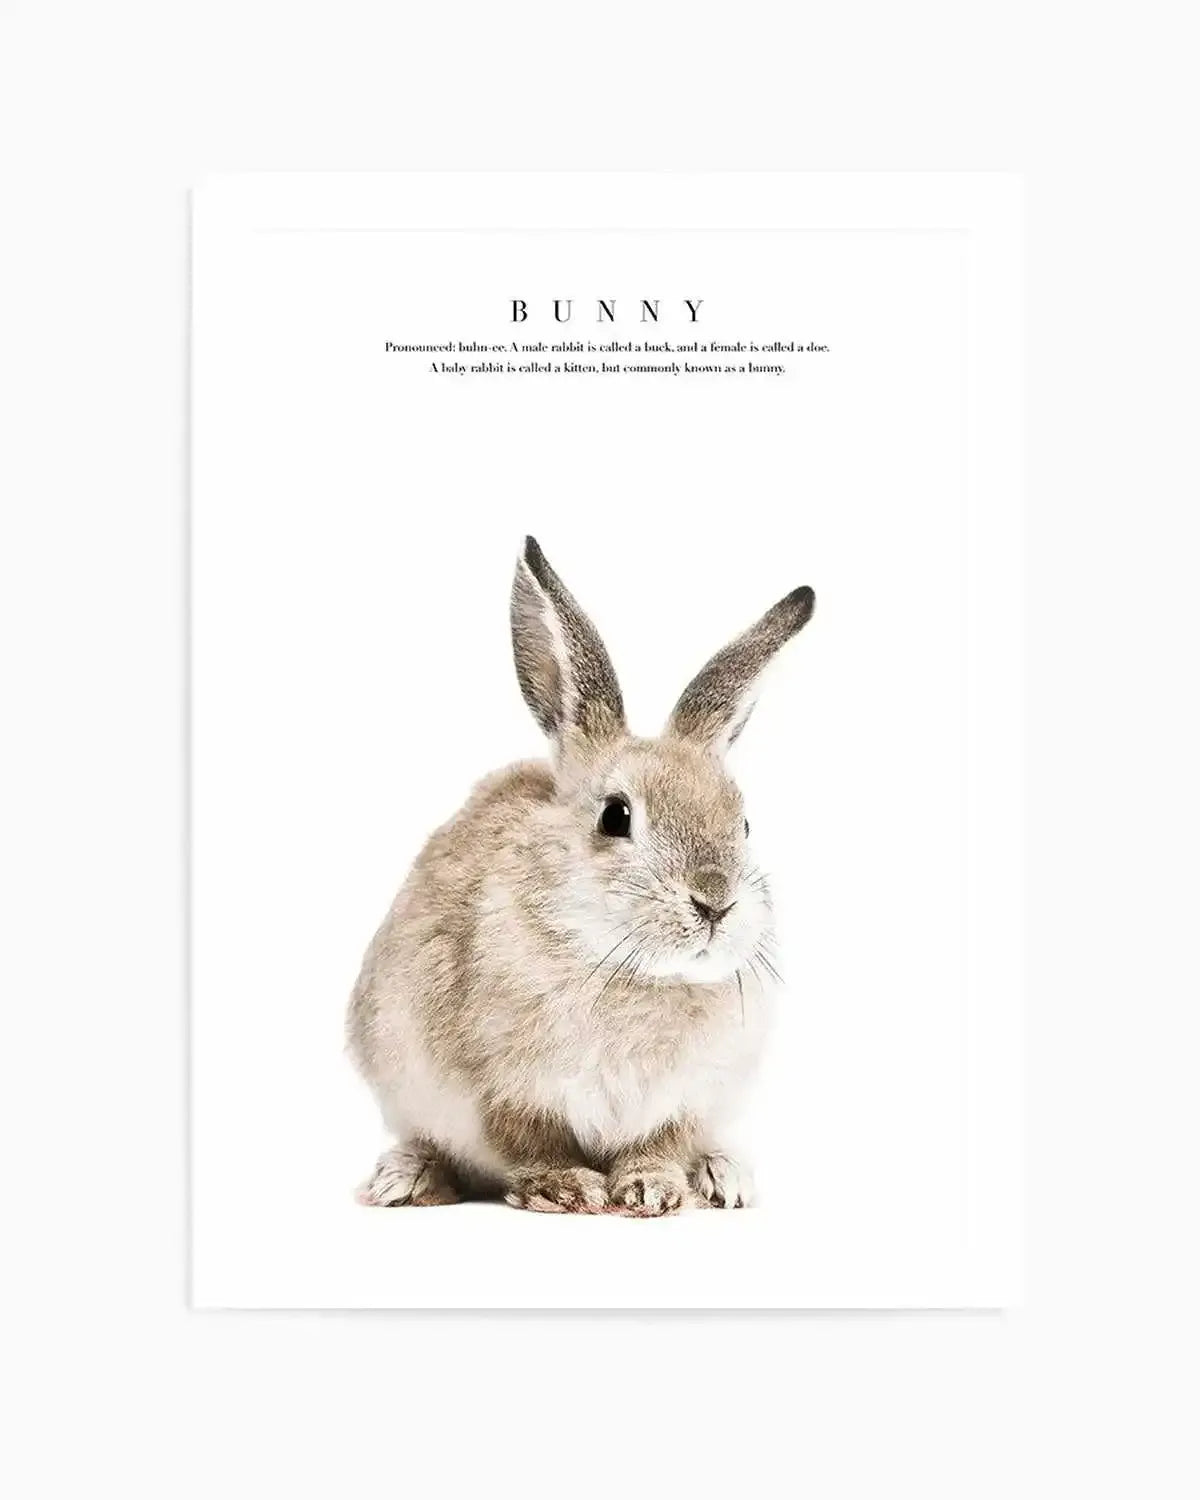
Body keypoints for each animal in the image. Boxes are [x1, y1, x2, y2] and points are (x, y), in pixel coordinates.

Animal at [346, 536, 814, 1215]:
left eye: (745, 823)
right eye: (616, 816)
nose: (715, 901)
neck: (632, 972)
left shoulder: (686, 1101)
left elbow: (660, 1145)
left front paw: (653, 1189)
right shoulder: (500, 1092)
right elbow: (531, 1143)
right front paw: (567, 1188)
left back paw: (723, 1177)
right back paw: (405, 1180)